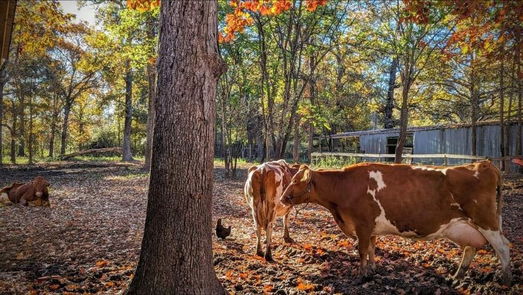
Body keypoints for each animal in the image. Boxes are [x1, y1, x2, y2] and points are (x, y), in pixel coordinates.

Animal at [282, 161, 512, 286]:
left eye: (295, 181)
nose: (283, 198)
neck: (343, 188)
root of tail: (484, 164)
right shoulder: (371, 228)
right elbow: (372, 249)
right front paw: (372, 270)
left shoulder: (362, 225)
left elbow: (362, 250)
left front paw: (361, 276)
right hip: (463, 226)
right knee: (470, 249)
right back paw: (456, 277)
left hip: (487, 221)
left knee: (503, 248)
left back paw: (505, 279)